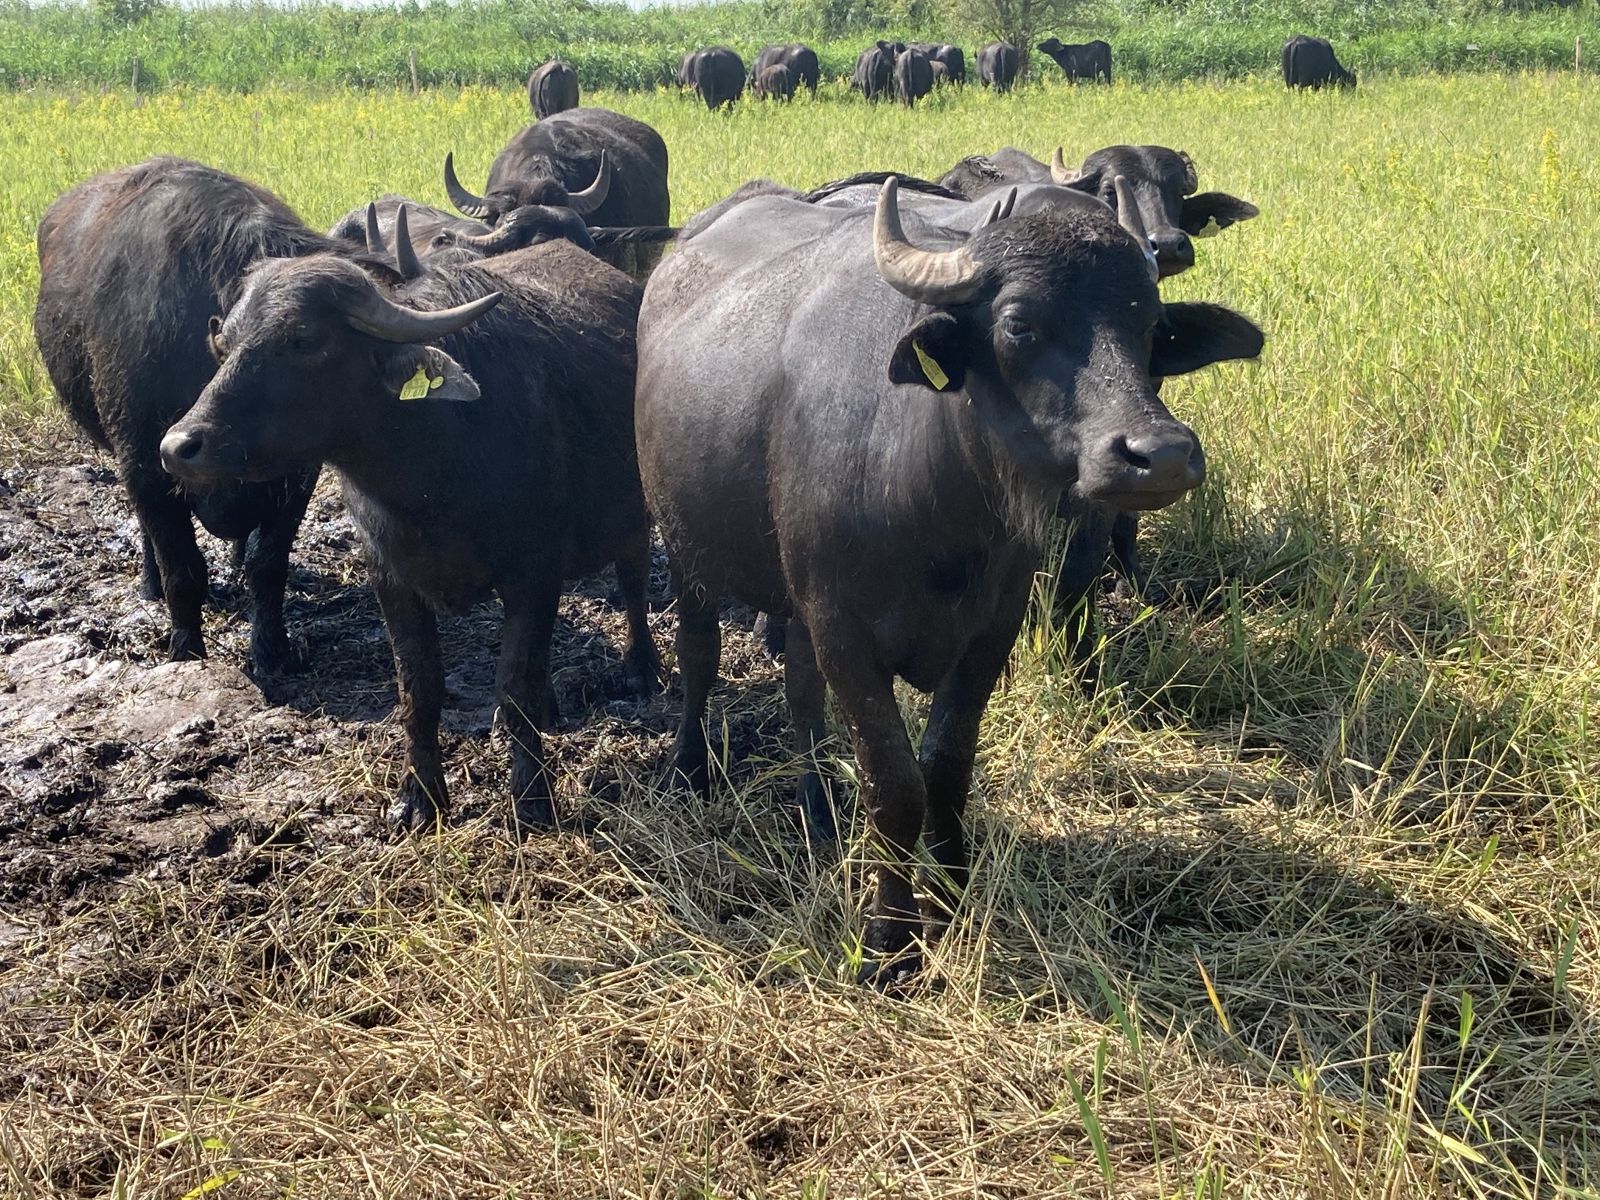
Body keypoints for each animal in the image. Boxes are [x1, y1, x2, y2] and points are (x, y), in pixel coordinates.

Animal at [32, 157, 343, 670]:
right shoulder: (143, 458)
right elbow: (183, 568)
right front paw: (185, 649)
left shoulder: (299, 474)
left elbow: (268, 564)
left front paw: (271, 650)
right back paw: (149, 584)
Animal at [159, 241, 661, 834]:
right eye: (227, 343)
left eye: (304, 340)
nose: (178, 447)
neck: (430, 472)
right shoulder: (390, 577)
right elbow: (418, 687)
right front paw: (419, 799)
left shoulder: (533, 573)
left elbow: (515, 683)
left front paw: (532, 800)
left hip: (634, 515)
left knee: (633, 581)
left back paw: (642, 669)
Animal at [635, 177, 1263, 984]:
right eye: (1019, 324)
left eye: (1150, 325)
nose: (1162, 455)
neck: (937, 514)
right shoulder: (846, 632)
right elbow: (895, 782)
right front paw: (890, 938)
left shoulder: (988, 630)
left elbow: (946, 770)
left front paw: (952, 899)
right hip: (683, 547)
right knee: (699, 652)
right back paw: (688, 767)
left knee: (800, 690)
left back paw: (817, 806)